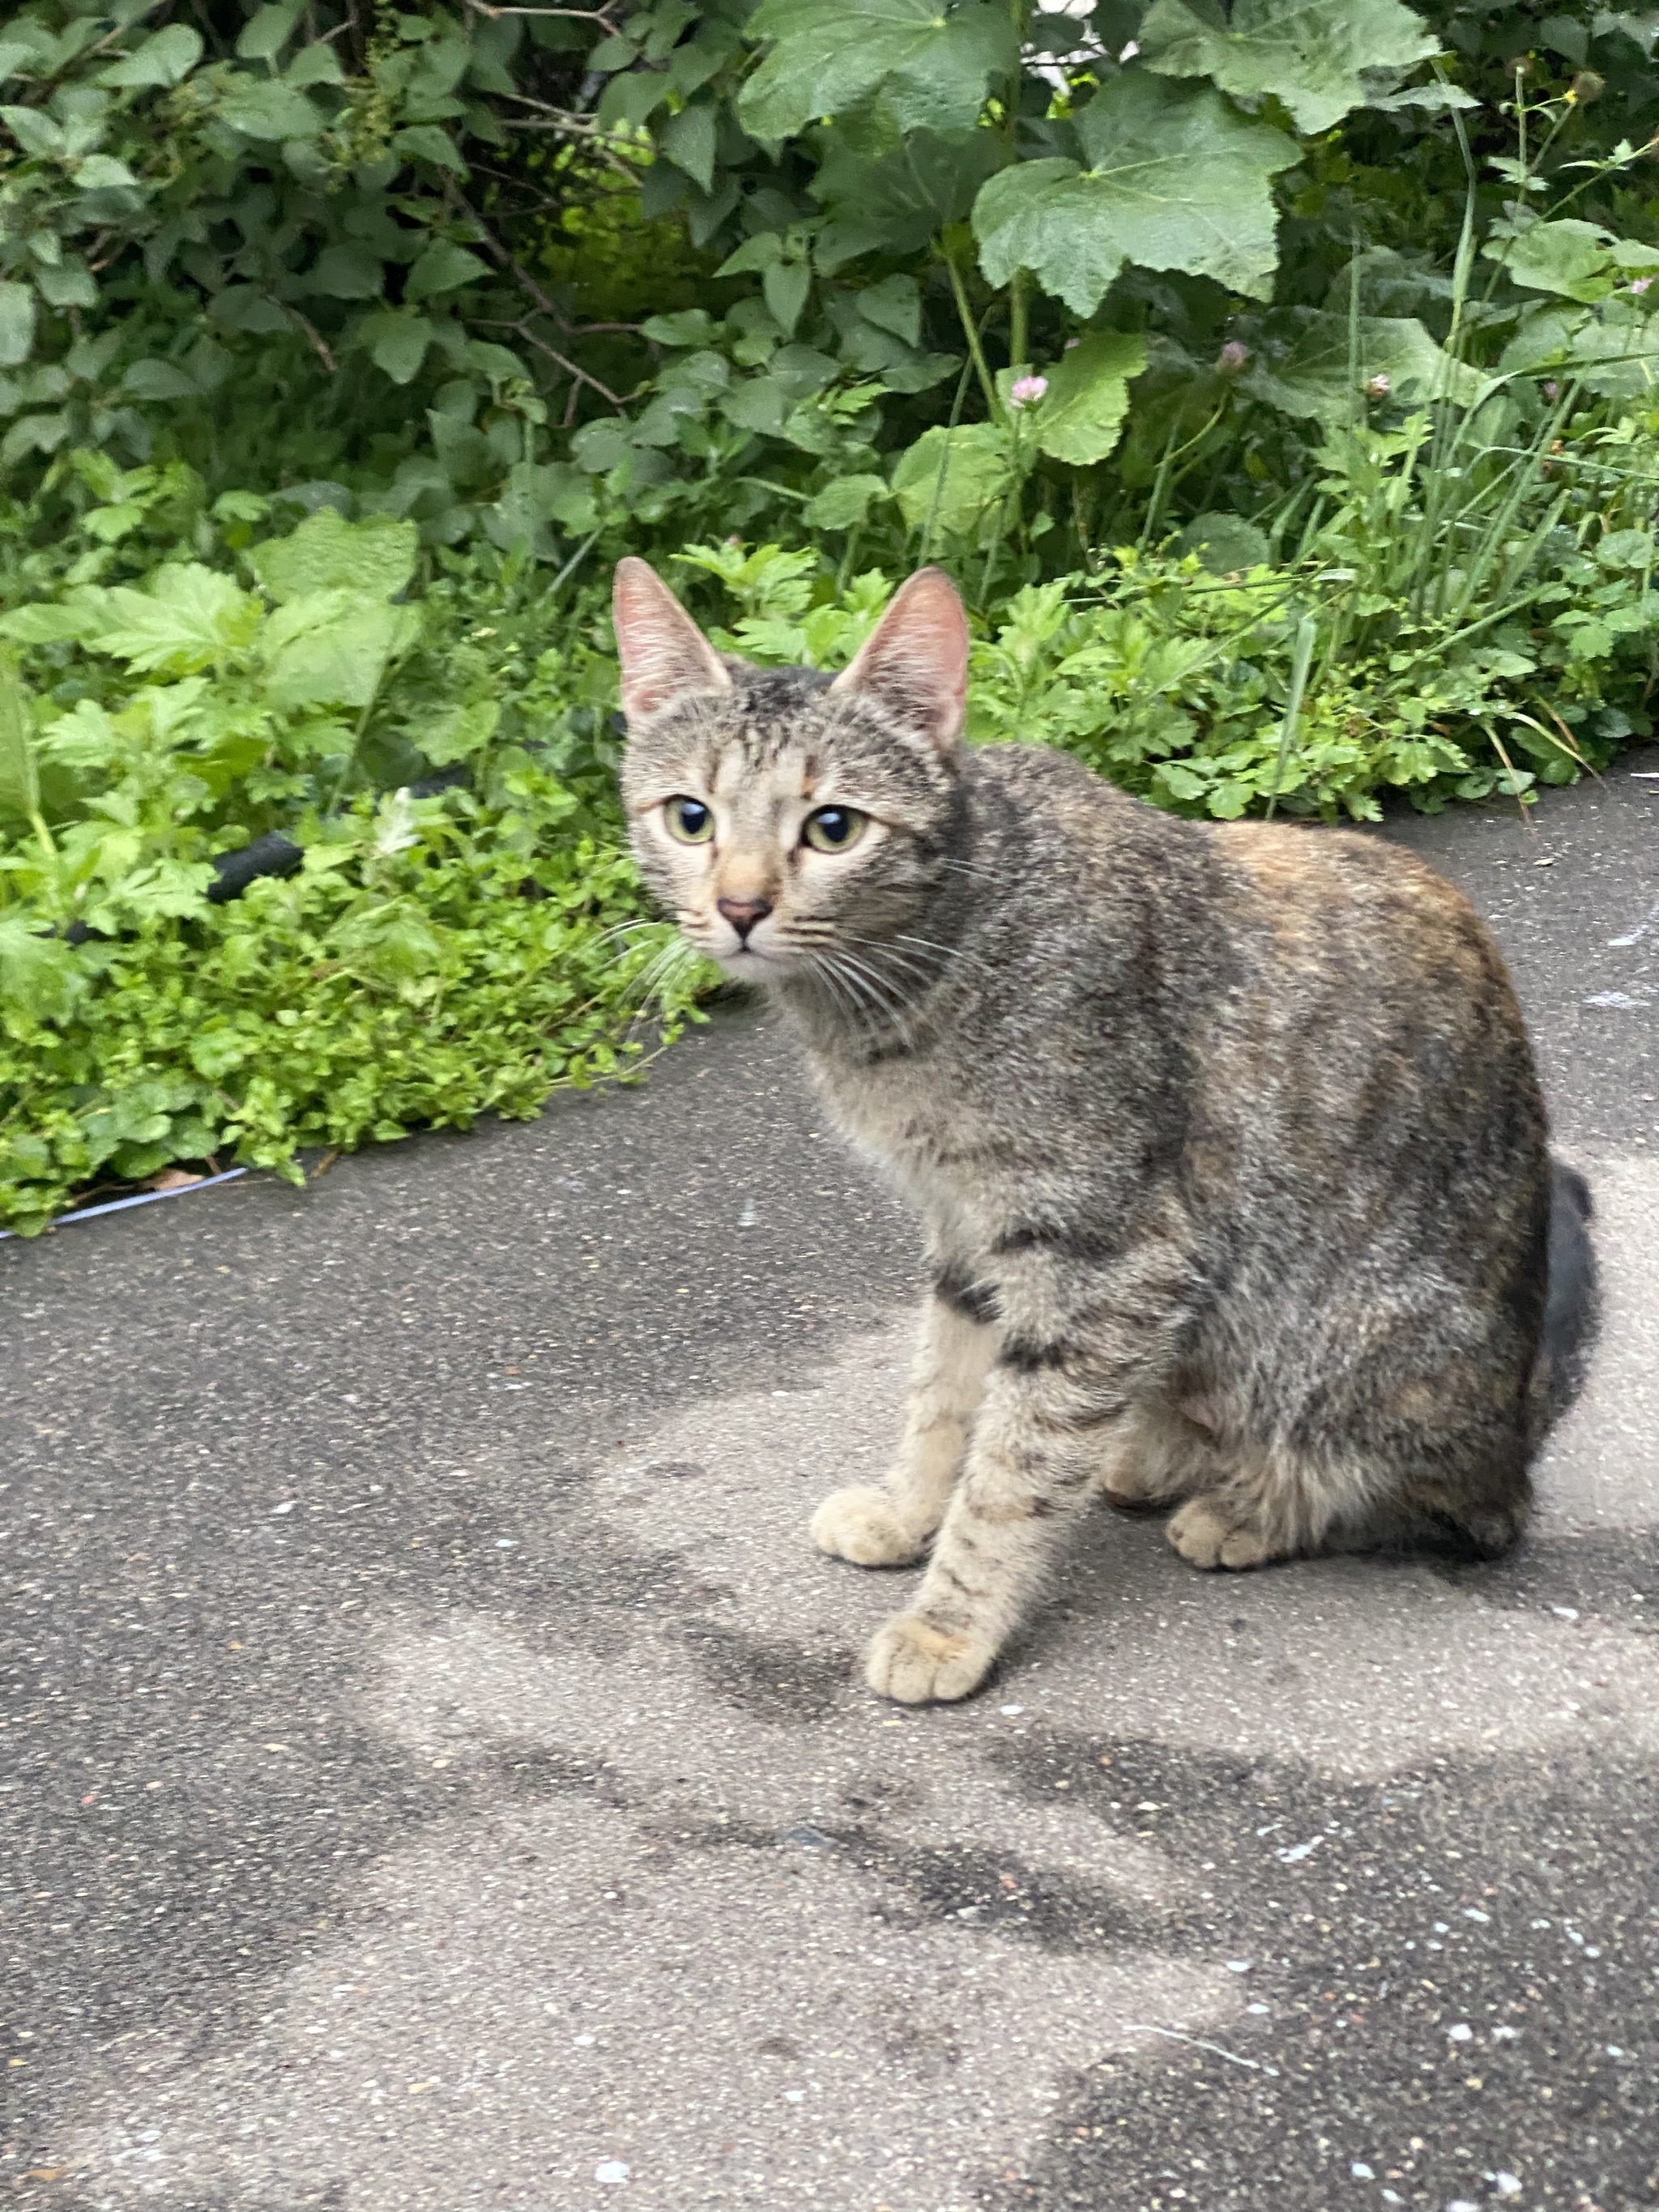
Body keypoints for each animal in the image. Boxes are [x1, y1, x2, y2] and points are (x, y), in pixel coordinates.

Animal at [610, 561, 1601, 1698]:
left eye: (831, 828)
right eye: (690, 817)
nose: (737, 906)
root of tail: (1518, 1420)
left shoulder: (1108, 1258)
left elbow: (1012, 1468)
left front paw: (948, 1623)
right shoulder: (966, 1235)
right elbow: (944, 1399)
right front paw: (908, 1513)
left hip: (1361, 1350)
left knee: (1448, 1511)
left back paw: (1250, 1508)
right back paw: (1160, 1454)